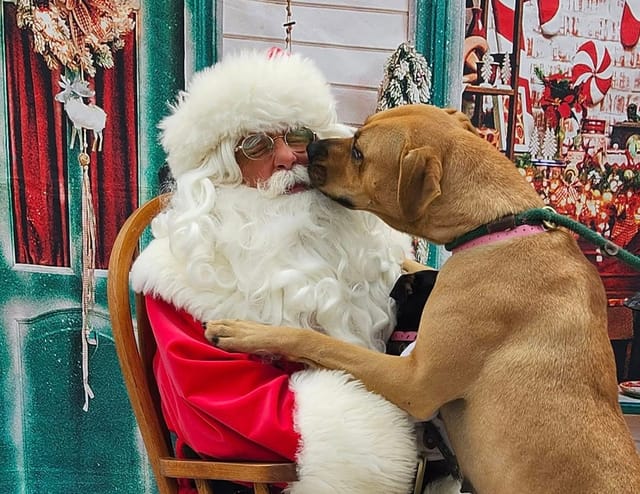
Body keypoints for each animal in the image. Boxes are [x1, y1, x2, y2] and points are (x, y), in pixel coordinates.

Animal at [206, 103, 640, 490]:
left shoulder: (413, 381)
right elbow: (409, 266)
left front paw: (244, 331)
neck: (496, 224)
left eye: (359, 152)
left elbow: (317, 341)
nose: (311, 145)